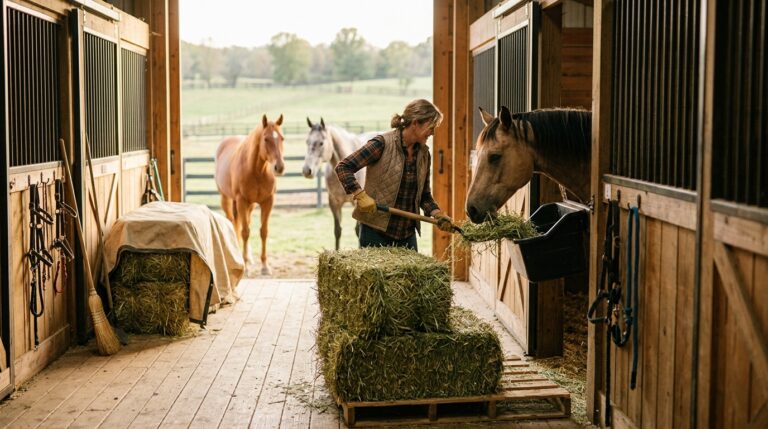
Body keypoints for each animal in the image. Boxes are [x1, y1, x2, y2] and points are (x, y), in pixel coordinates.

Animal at [215, 114, 285, 275]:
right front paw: (245, 265)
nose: (279, 167)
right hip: (227, 199)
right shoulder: (242, 200)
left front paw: (265, 266)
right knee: (233, 223)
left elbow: (263, 231)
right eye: (266, 139)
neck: (257, 171)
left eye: (282, 138)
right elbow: (245, 232)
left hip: (250, 206)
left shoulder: (268, 202)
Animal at [301, 117, 367, 250]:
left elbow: (358, 230)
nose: (307, 170)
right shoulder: (334, 202)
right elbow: (337, 230)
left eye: (321, 143)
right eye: (307, 141)